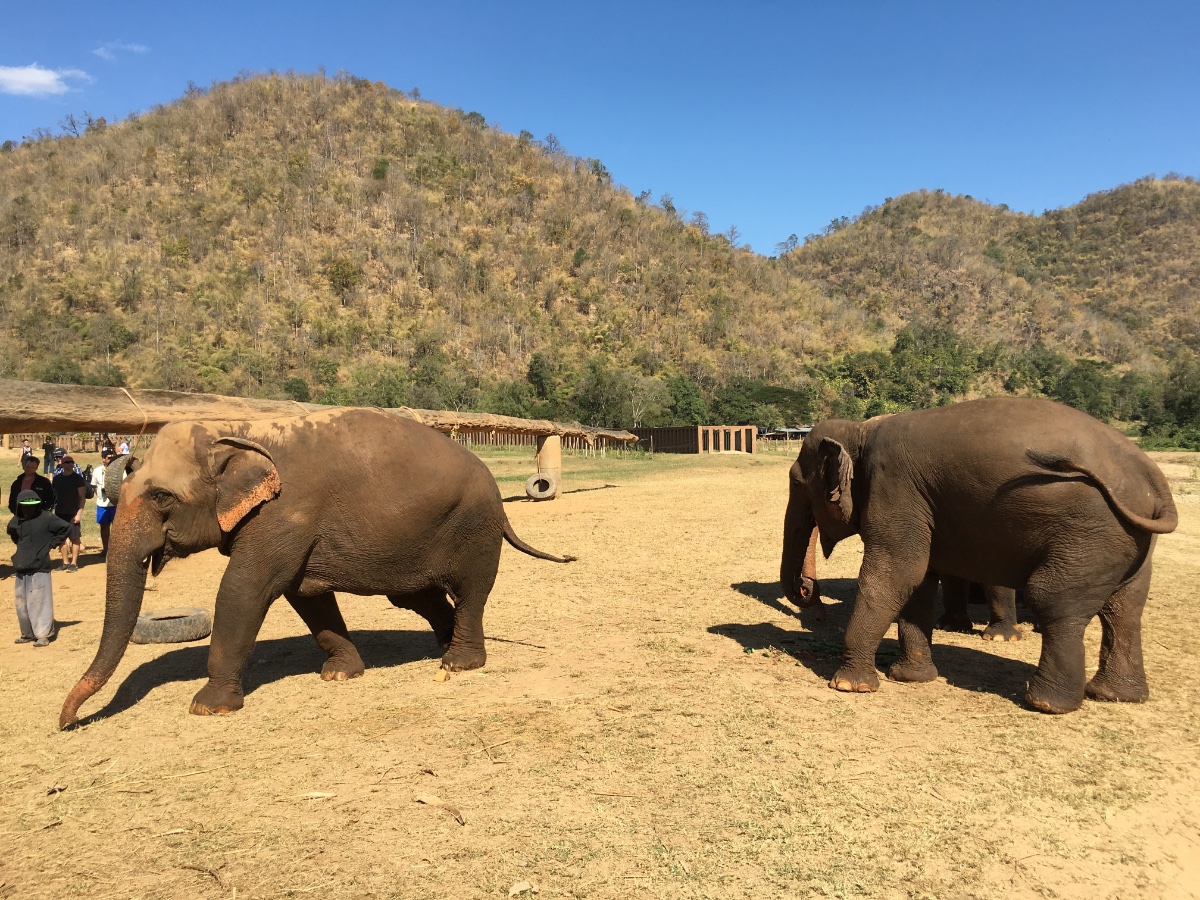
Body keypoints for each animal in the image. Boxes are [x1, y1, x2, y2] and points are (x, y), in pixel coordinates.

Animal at [60, 408, 575, 728]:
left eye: (162, 496)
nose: (68, 721)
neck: (235, 428)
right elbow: (305, 596)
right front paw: (341, 674)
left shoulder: (286, 514)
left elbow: (244, 590)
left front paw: (208, 708)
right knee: (417, 597)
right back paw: (442, 646)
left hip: (474, 529)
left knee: (470, 592)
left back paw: (459, 661)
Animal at [779, 396, 1177, 714]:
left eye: (797, 483)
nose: (808, 590)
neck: (862, 430)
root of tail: (1151, 474)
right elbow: (919, 581)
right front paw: (911, 677)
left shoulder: (894, 488)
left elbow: (897, 574)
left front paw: (849, 686)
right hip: (1128, 540)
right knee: (1125, 608)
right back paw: (1115, 695)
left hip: (1088, 534)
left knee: (1055, 600)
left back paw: (1046, 704)